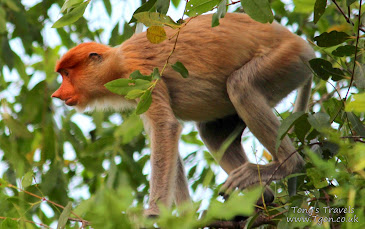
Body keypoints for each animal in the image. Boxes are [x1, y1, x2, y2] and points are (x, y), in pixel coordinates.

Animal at [51, 13, 312, 216]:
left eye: (67, 74)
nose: (57, 94)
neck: (117, 62)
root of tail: (305, 47)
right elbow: (166, 140)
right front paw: (186, 217)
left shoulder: (141, 75)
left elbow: (165, 128)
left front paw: (153, 213)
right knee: (212, 133)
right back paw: (261, 196)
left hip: (284, 60)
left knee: (241, 86)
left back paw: (288, 166)